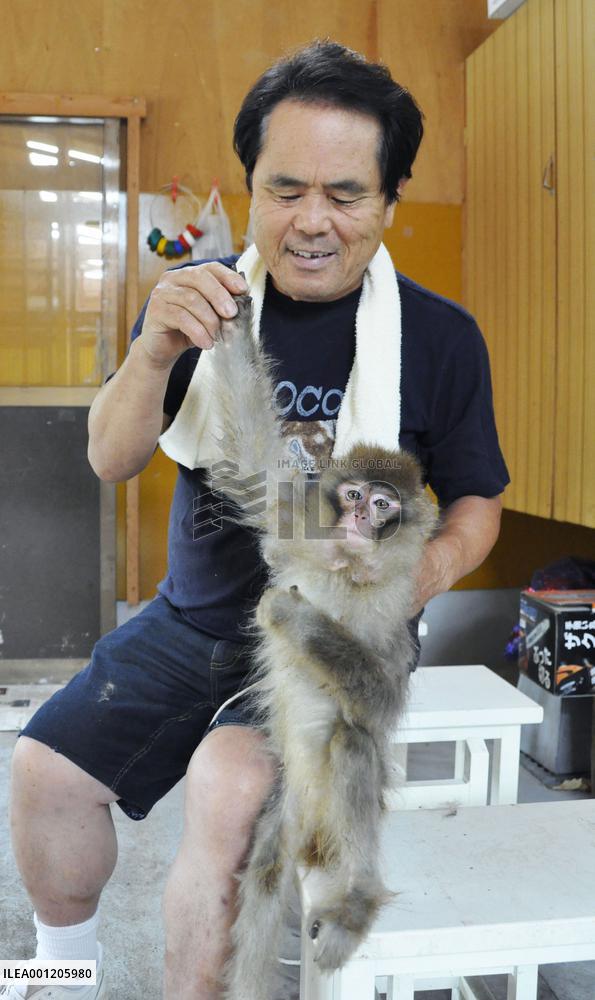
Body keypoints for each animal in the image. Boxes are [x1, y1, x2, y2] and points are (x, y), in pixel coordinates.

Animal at [205, 294, 438, 1000]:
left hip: (338, 821)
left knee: (354, 743)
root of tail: (313, 837)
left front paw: (292, 615)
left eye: (385, 505)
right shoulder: (301, 533)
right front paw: (232, 311)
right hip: (285, 817)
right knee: (264, 877)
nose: (360, 519)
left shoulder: (395, 615)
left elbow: (379, 707)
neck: (346, 570)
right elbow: (255, 464)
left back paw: (355, 903)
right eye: (354, 494)